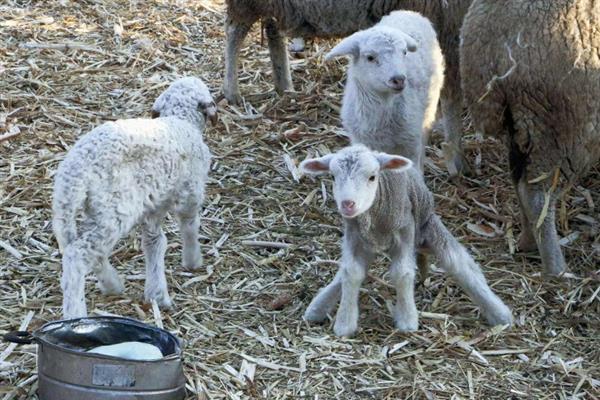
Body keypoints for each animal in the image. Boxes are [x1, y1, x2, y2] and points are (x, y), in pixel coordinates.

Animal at [51, 76, 216, 318]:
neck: (179, 119)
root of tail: (73, 174)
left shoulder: (153, 203)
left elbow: (154, 242)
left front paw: (156, 293)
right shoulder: (191, 190)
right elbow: (189, 224)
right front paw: (192, 260)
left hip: (93, 210)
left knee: (86, 249)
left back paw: (112, 284)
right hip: (115, 210)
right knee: (76, 257)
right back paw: (76, 314)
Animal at [300, 145, 510, 338]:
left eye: (372, 177)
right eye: (333, 177)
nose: (348, 204)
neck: (375, 215)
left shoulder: (406, 230)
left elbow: (402, 273)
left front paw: (407, 320)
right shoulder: (354, 235)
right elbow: (351, 272)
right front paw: (344, 323)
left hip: (426, 225)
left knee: (458, 262)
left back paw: (499, 313)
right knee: (345, 273)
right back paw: (318, 307)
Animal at [324, 9, 446, 169]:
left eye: (404, 52)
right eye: (370, 57)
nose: (399, 79)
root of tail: (409, 12)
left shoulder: (410, 143)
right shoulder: (362, 140)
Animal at [462, 0, 596, 276]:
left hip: (521, 127)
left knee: (520, 183)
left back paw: (527, 243)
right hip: (559, 129)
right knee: (537, 198)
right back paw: (557, 270)